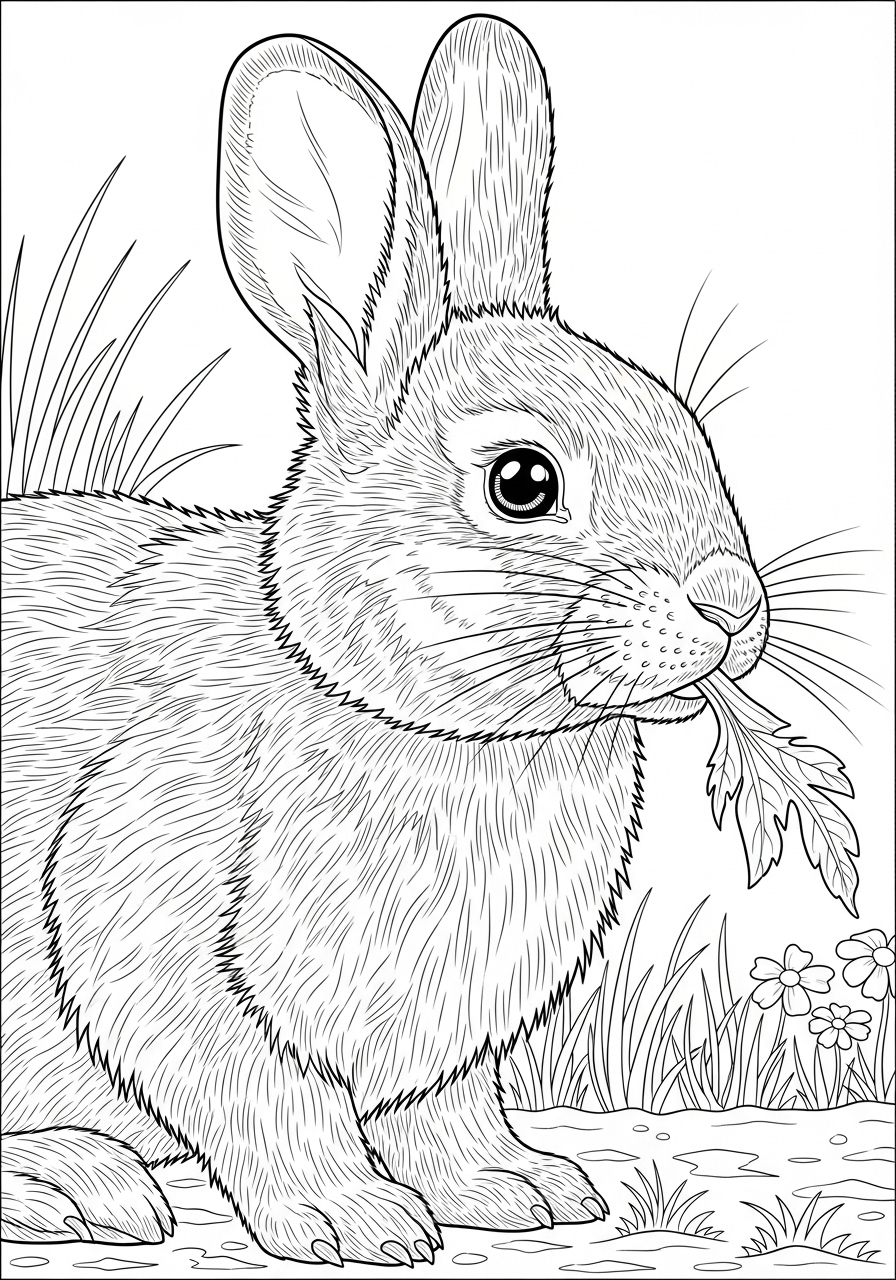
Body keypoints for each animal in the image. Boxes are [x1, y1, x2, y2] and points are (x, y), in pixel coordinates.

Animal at [0, 15, 770, 1268]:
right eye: (521, 482)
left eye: (685, 426)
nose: (732, 604)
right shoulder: (155, 904)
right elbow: (263, 1092)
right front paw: (351, 1218)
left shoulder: (450, 1043)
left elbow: (448, 1114)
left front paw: (523, 1186)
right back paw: (74, 1179)